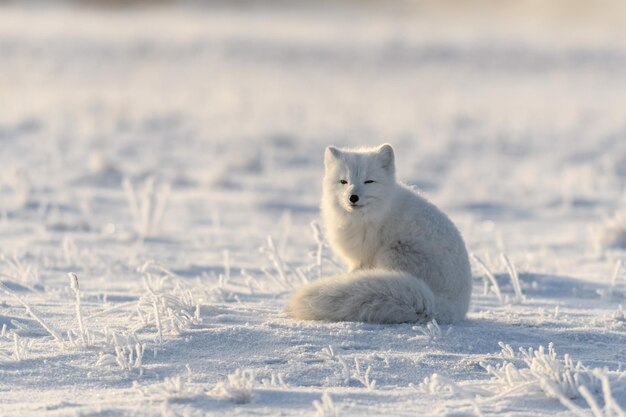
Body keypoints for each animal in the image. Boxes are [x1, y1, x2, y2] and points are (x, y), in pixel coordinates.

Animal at [286, 145, 470, 324]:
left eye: (369, 181)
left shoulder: (364, 256)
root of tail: (451, 306)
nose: (353, 197)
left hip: (393, 252)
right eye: (343, 181)